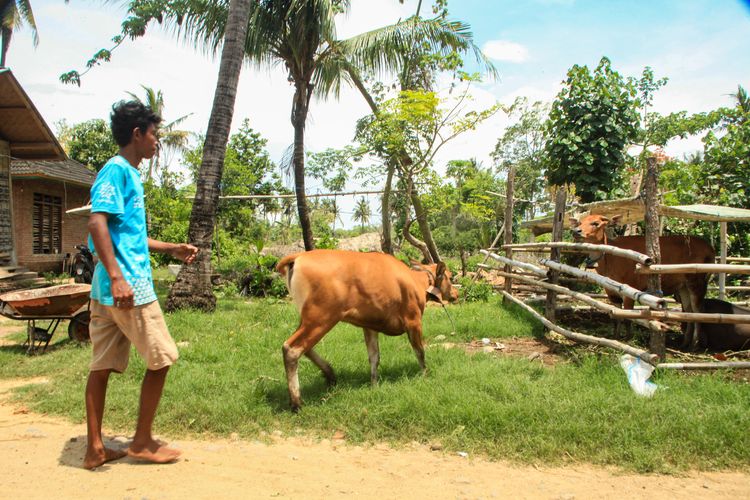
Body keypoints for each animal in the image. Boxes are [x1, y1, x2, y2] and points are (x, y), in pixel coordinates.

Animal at [276, 250, 458, 410]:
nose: (456, 293)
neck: (416, 281)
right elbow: (420, 352)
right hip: (321, 317)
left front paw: (374, 384)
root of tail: (298, 256)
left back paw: (330, 375)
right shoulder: (413, 321)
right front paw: (425, 374)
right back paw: (297, 402)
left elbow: (374, 357)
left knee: (305, 347)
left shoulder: (369, 326)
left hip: (307, 318)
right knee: (292, 348)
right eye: (450, 276)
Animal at [568, 213, 716, 350]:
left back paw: (694, 345)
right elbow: (616, 317)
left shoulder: (630, 288)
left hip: (697, 282)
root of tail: (711, 249)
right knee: (688, 310)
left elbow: (628, 317)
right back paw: (685, 343)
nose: (576, 231)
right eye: (580, 222)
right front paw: (615, 337)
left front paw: (628, 339)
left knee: (699, 310)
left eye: (596, 223)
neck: (609, 258)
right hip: (683, 286)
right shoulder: (611, 292)